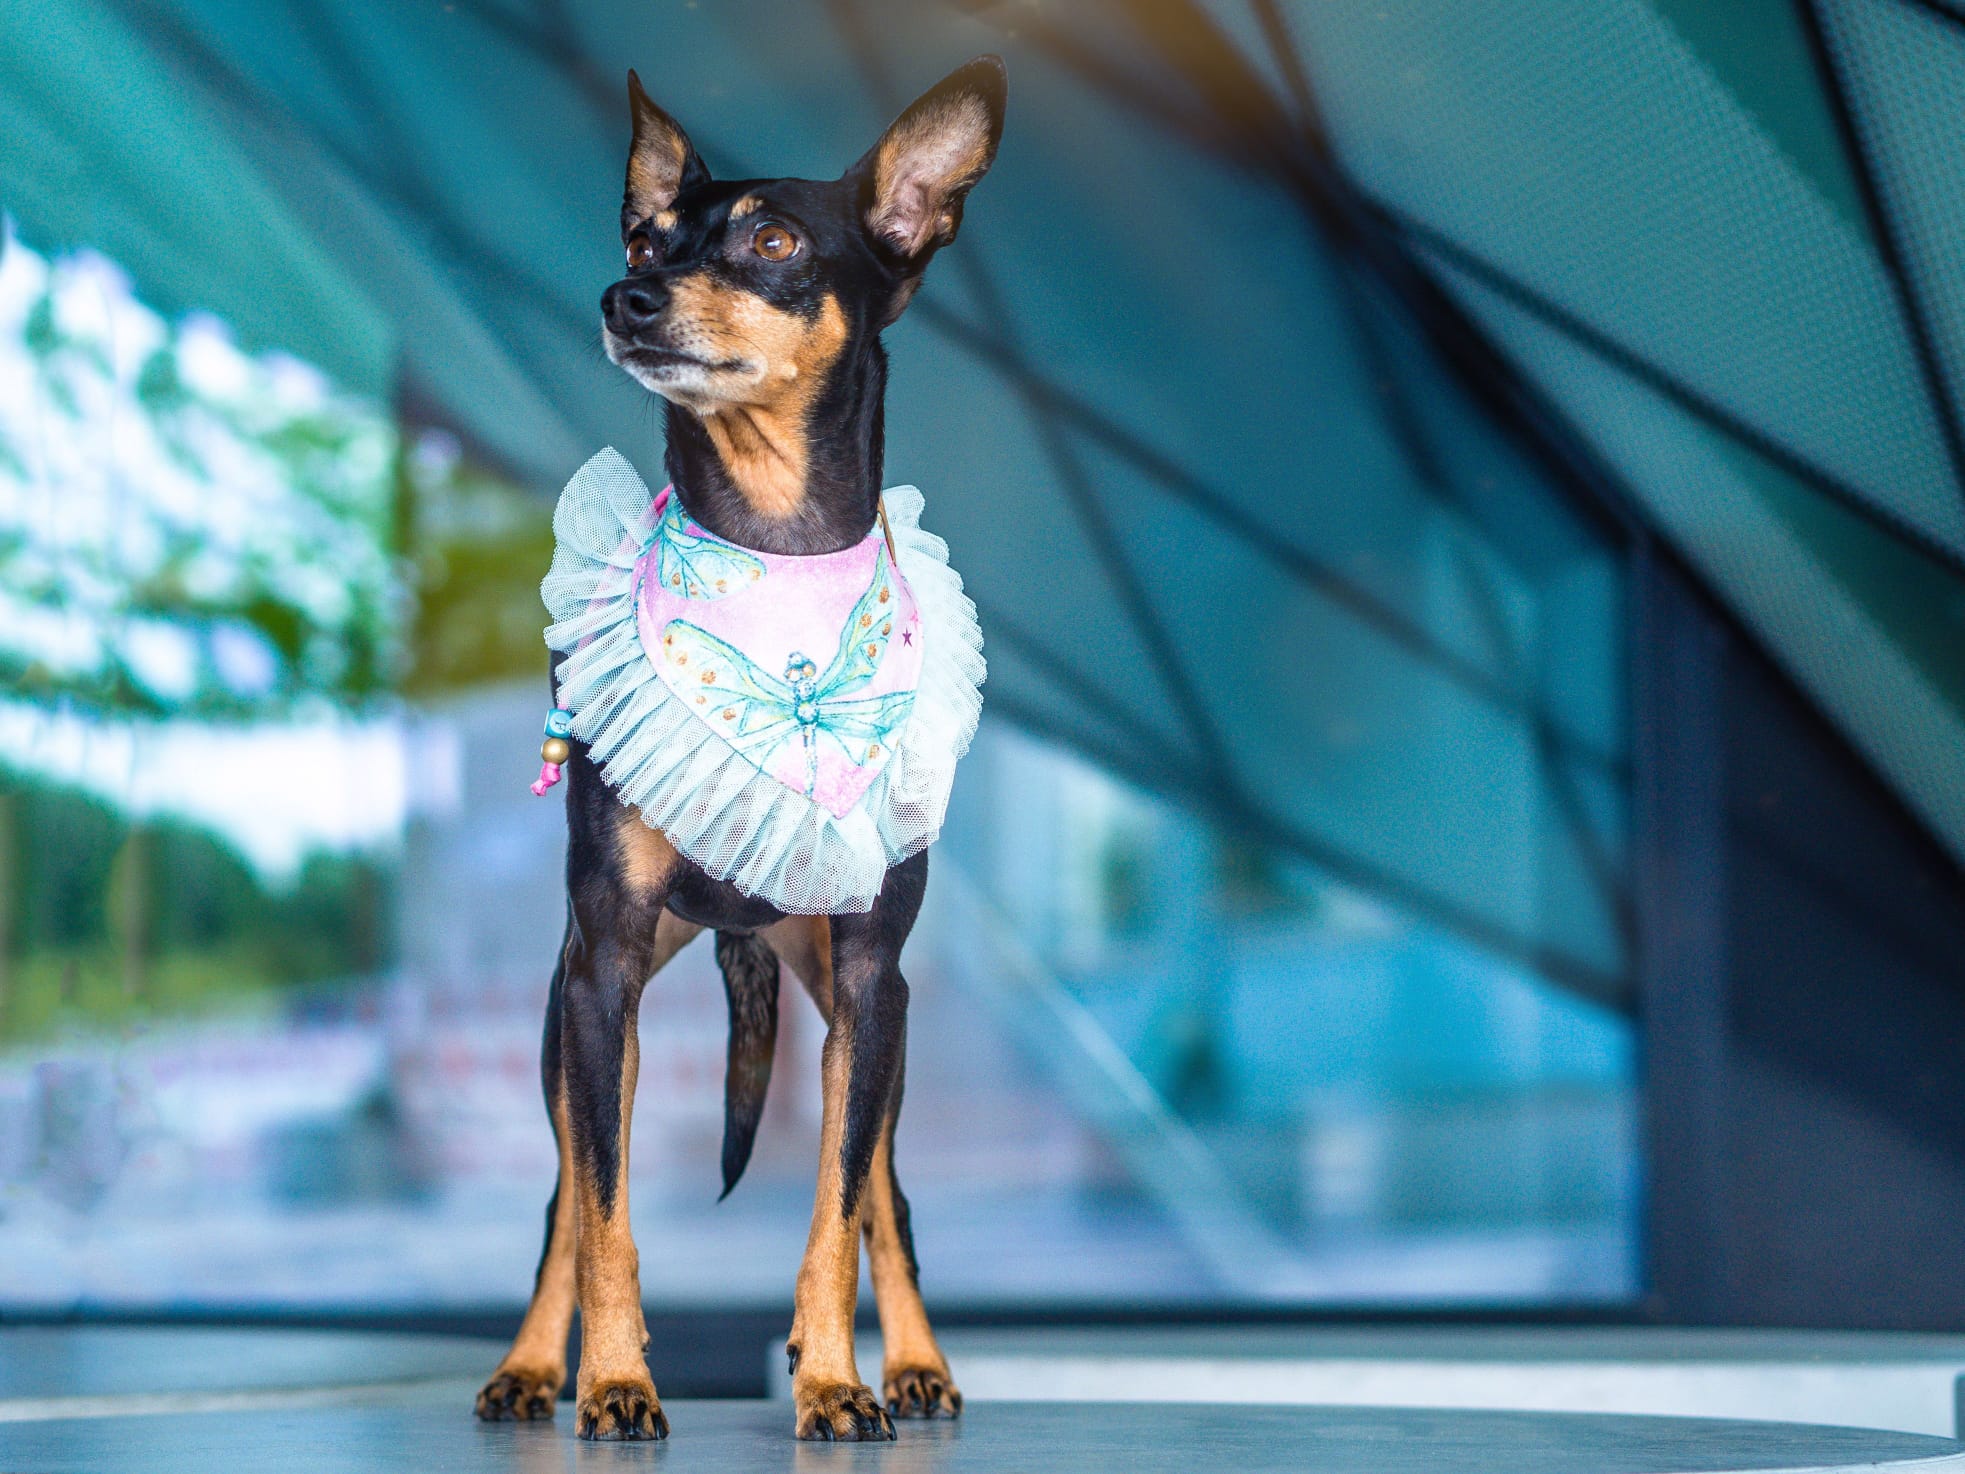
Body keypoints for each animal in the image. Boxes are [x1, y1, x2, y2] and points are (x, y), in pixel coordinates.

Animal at [469, 57, 1006, 1446]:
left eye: (773, 243)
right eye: (646, 239)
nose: (627, 297)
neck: (772, 553)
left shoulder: (871, 984)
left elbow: (835, 1211)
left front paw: (832, 1381)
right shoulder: (601, 971)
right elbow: (604, 1218)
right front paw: (613, 1380)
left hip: (868, 1024)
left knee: (885, 1197)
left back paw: (914, 1365)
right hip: (574, 1019)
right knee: (564, 1195)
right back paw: (532, 1367)